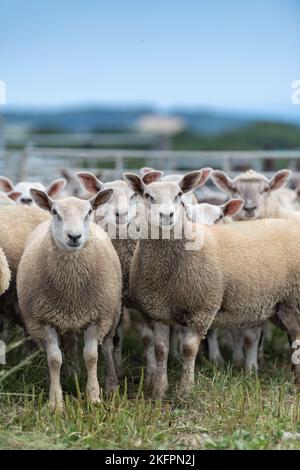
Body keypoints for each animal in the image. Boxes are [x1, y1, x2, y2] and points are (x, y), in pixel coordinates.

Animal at [16, 189, 122, 410]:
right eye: (55, 212)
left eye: (89, 212)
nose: (74, 236)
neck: (71, 291)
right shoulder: (43, 320)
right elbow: (55, 359)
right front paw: (56, 402)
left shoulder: (97, 317)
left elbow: (91, 357)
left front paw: (94, 398)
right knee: (69, 346)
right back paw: (71, 374)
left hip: (113, 314)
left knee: (107, 348)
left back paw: (111, 385)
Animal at [125, 171, 300, 398]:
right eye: (147, 195)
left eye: (179, 195)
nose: (167, 215)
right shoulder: (158, 311)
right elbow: (161, 350)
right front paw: (159, 390)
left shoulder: (202, 308)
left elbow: (189, 349)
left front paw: (185, 390)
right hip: (281, 306)